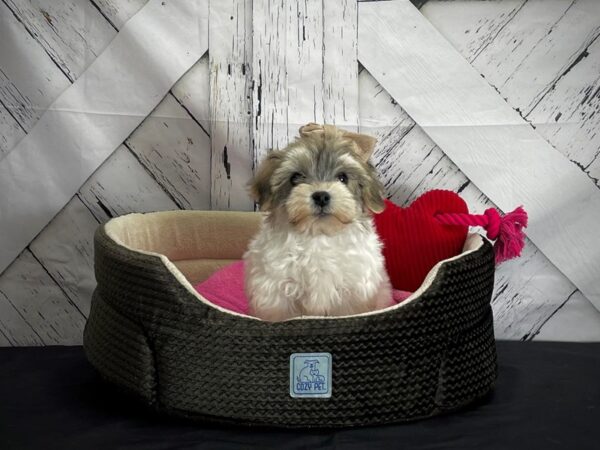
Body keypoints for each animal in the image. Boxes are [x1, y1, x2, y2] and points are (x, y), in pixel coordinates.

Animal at [244, 121, 394, 322]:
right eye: (295, 177)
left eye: (343, 178)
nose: (321, 196)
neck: (318, 235)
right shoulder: (276, 292)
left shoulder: (351, 294)